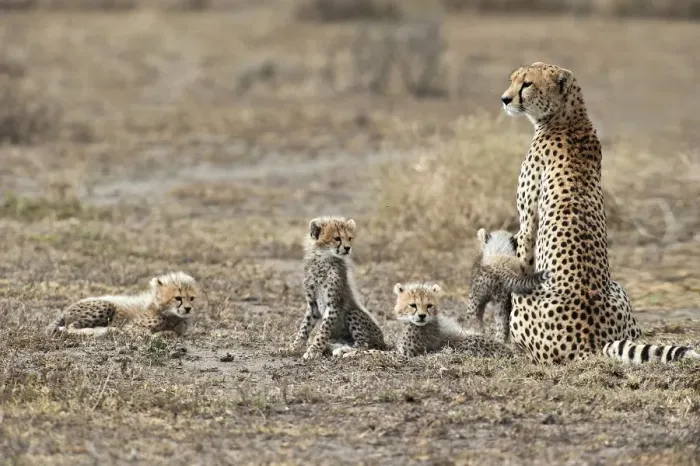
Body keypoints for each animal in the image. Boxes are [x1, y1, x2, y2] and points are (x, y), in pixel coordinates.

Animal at [45, 271, 197, 338]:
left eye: (192, 298)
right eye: (178, 298)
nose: (188, 309)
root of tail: (66, 309)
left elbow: (174, 333)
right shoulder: (131, 326)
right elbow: (150, 332)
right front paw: (160, 334)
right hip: (106, 306)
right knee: (69, 327)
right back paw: (104, 330)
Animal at [288, 216, 387, 360]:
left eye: (349, 238)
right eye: (337, 238)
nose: (347, 248)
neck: (323, 260)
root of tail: (383, 342)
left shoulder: (334, 305)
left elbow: (323, 331)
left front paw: (313, 350)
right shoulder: (313, 305)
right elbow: (304, 328)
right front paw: (294, 347)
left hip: (353, 313)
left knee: (364, 344)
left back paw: (344, 351)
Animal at [500, 61, 698, 364]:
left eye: (527, 84)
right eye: (513, 80)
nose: (505, 99)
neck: (569, 116)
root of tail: (591, 341)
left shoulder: (527, 221)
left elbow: (523, 255)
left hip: (528, 300)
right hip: (619, 288)